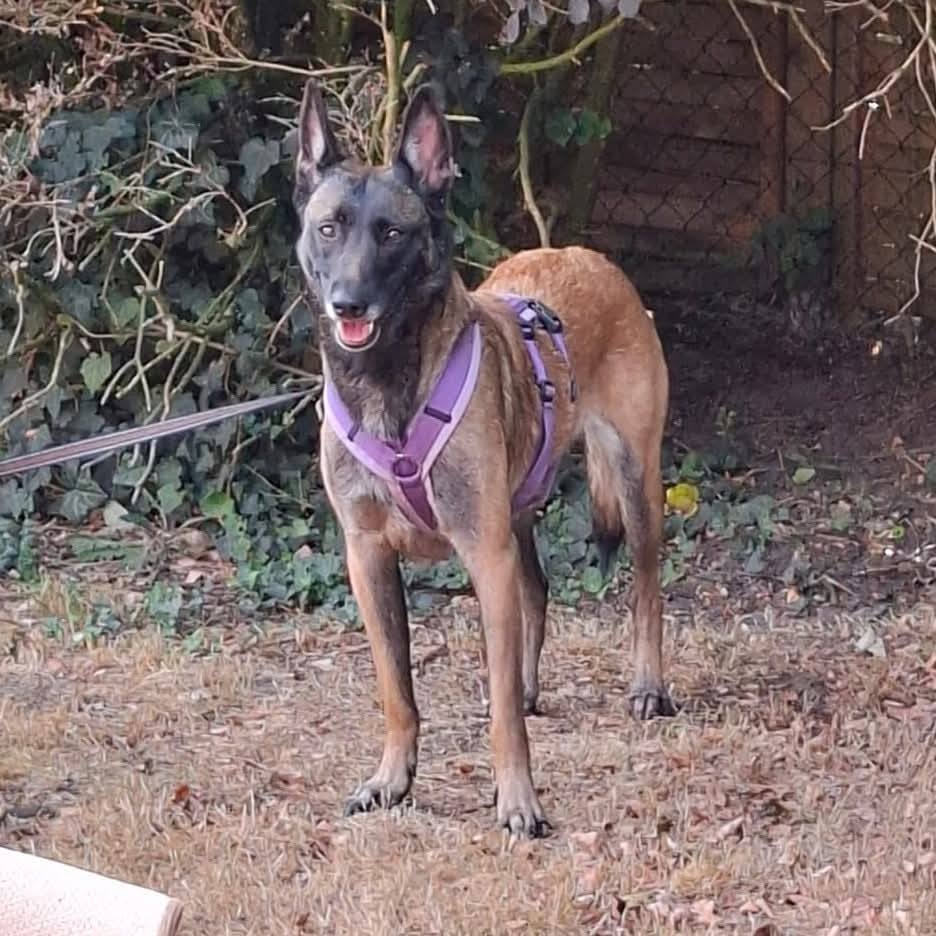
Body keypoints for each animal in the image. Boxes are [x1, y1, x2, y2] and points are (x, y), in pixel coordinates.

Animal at [292, 78, 673, 837]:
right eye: (329, 228)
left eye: (392, 232)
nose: (347, 302)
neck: (387, 382)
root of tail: (582, 253)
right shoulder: (367, 558)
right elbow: (397, 690)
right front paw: (392, 780)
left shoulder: (482, 553)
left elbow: (499, 715)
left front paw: (518, 801)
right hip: (518, 506)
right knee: (538, 590)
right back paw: (527, 686)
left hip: (632, 480)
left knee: (645, 587)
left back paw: (647, 686)